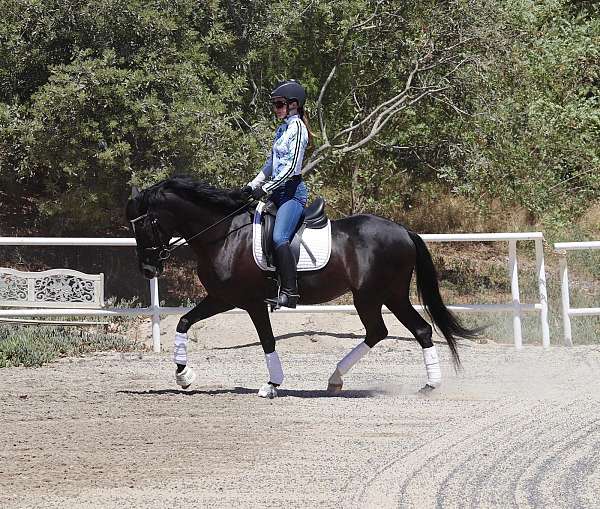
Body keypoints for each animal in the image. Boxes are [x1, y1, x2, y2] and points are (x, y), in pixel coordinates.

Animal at [127, 177, 478, 394]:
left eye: (146, 224)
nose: (147, 269)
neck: (224, 234)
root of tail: (404, 230)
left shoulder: (250, 302)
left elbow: (267, 341)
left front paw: (272, 385)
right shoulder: (221, 298)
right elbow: (184, 322)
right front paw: (184, 376)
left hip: (376, 295)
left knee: (408, 330)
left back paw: (428, 385)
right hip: (381, 296)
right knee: (392, 331)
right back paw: (338, 379)